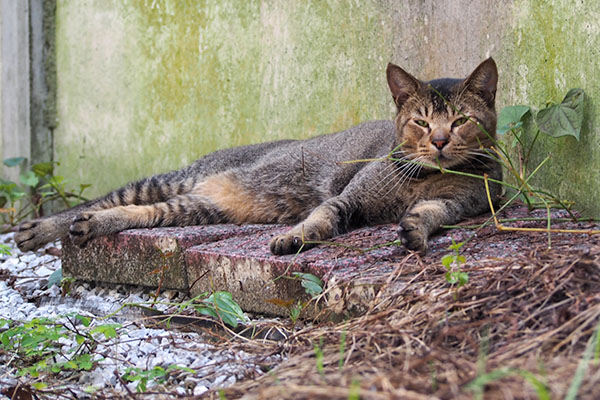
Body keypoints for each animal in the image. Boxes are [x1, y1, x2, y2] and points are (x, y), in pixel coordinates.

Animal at [14, 57, 502, 255]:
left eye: (460, 121)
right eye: (421, 122)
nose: (439, 141)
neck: (425, 177)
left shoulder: (462, 204)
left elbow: (431, 213)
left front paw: (414, 228)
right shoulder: (348, 197)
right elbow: (321, 217)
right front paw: (294, 238)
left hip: (197, 207)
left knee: (140, 212)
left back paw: (89, 226)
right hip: (177, 179)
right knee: (108, 199)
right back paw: (42, 228)